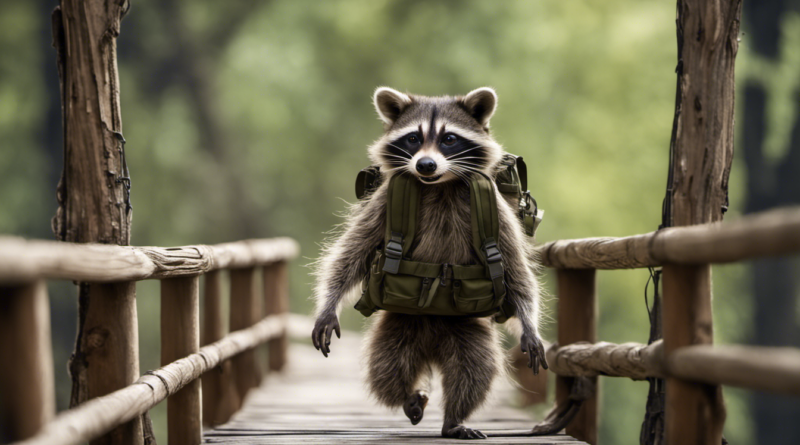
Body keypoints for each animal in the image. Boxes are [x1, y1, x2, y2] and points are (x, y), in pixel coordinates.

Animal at [311, 87, 546, 440]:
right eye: (413, 138)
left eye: (449, 139)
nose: (425, 165)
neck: (440, 184)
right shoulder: (382, 203)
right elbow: (350, 253)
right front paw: (328, 305)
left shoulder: (500, 215)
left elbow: (517, 271)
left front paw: (530, 326)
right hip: (400, 324)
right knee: (386, 367)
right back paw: (407, 397)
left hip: (467, 328)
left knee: (476, 367)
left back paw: (454, 418)